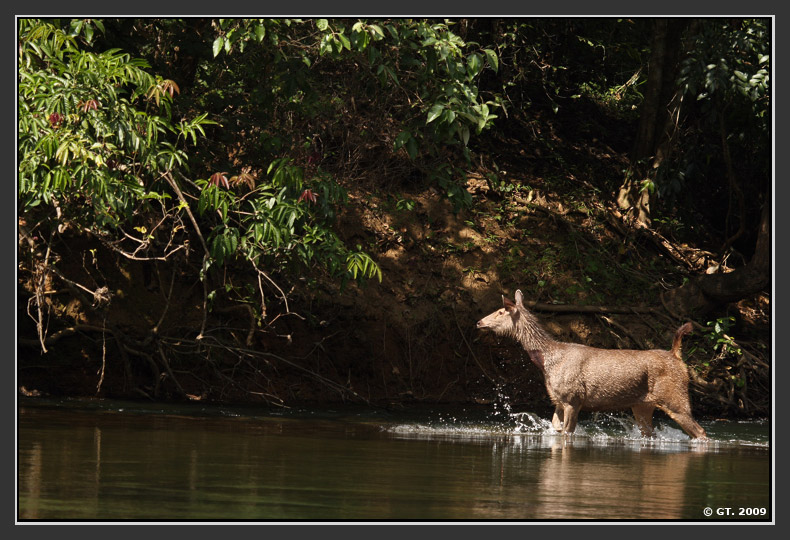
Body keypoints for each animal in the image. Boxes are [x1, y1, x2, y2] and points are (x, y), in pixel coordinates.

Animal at [480, 292, 708, 438]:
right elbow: (555, 428)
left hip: (675, 397)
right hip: (642, 405)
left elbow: (567, 433)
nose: (479, 322)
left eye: (501, 311)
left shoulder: (573, 398)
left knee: (700, 432)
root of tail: (676, 356)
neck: (547, 361)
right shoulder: (558, 401)